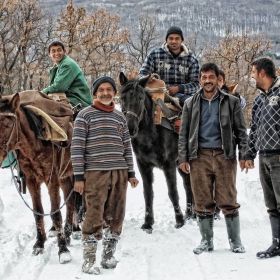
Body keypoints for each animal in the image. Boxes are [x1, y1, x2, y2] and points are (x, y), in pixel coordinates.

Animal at [0, 92, 77, 264]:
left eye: (8, 125)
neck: (34, 144)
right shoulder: (31, 180)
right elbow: (37, 212)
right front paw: (39, 244)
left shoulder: (52, 179)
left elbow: (55, 213)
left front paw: (63, 250)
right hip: (65, 175)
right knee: (70, 201)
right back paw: (68, 231)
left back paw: (74, 230)